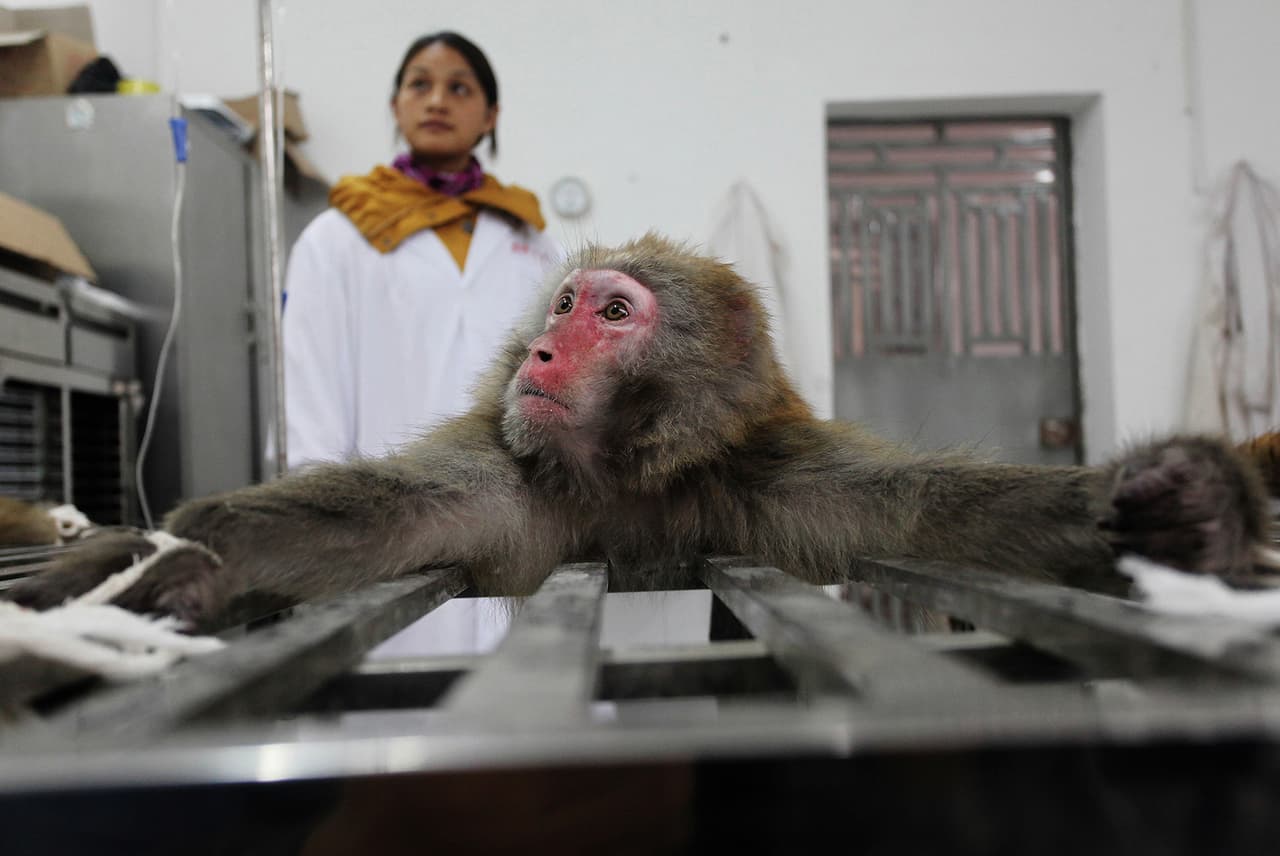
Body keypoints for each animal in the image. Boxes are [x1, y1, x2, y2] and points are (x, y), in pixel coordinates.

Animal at [4, 233, 1276, 627]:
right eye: (566, 301)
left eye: (613, 315)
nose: (540, 351)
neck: (619, 477)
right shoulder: (502, 477)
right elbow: (343, 526)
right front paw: (179, 561)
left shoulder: (770, 479)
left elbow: (938, 522)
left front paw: (1183, 505)